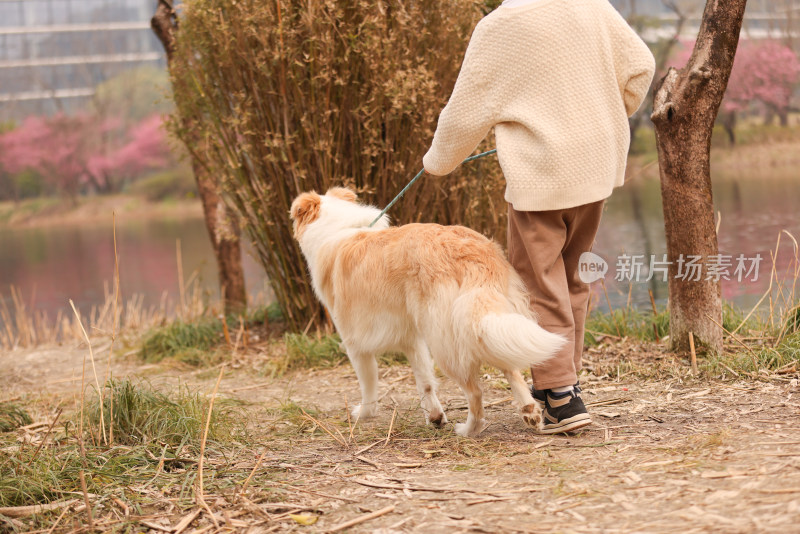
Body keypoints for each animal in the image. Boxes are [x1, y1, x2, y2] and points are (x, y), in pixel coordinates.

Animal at [290, 188, 564, 440]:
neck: (338, 228)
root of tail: (473, 256)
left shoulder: (355, 343)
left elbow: (369, 385)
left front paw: (364, 414)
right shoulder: (412, 339)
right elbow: (426, 383)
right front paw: (435, 417)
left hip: (447, 341)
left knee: (475, 391)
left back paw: (469, 430)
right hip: (489, 323)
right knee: (512, 370)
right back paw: (530, 412)